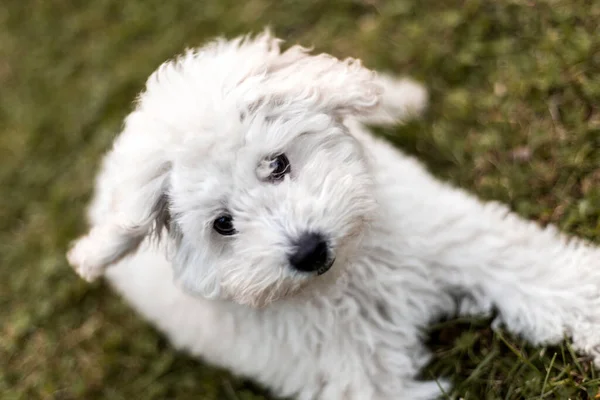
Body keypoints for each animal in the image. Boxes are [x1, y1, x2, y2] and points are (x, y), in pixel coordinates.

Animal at [65, 32, 600, 400]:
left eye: (277, 164)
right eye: (223, 224)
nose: (308, 250)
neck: (348, 276)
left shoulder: (459, 241)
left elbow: (543, 276)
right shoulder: (361, 381)